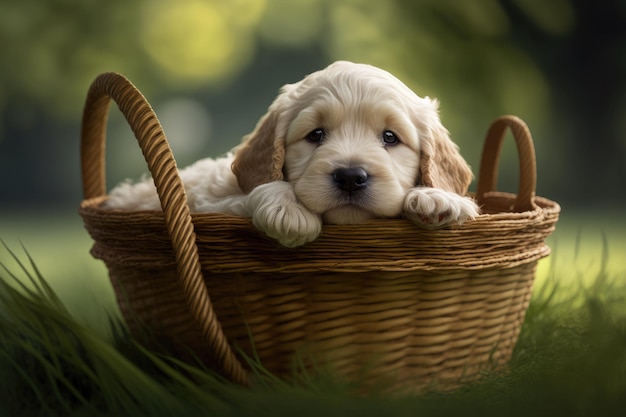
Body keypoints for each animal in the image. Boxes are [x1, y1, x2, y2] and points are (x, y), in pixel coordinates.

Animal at [106, 61, 478, 247]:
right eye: (316, 135)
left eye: (390, 137)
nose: (350, 177)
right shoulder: (209, 202)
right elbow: (258, 191)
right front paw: (289, 211)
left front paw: (437, 197)